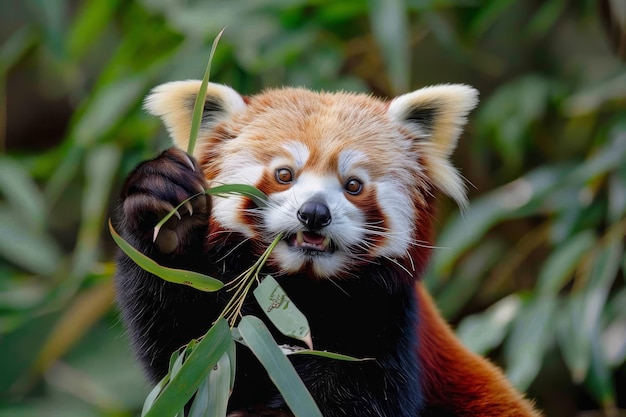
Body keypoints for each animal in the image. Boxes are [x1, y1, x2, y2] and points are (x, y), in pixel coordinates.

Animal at [113, 79, 540, 416]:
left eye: (353, 185)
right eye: (284, 174)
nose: (314, 213)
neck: (303, 293)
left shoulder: (386, 323)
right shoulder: (228, 331)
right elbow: (188, 359)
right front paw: (169, 216)